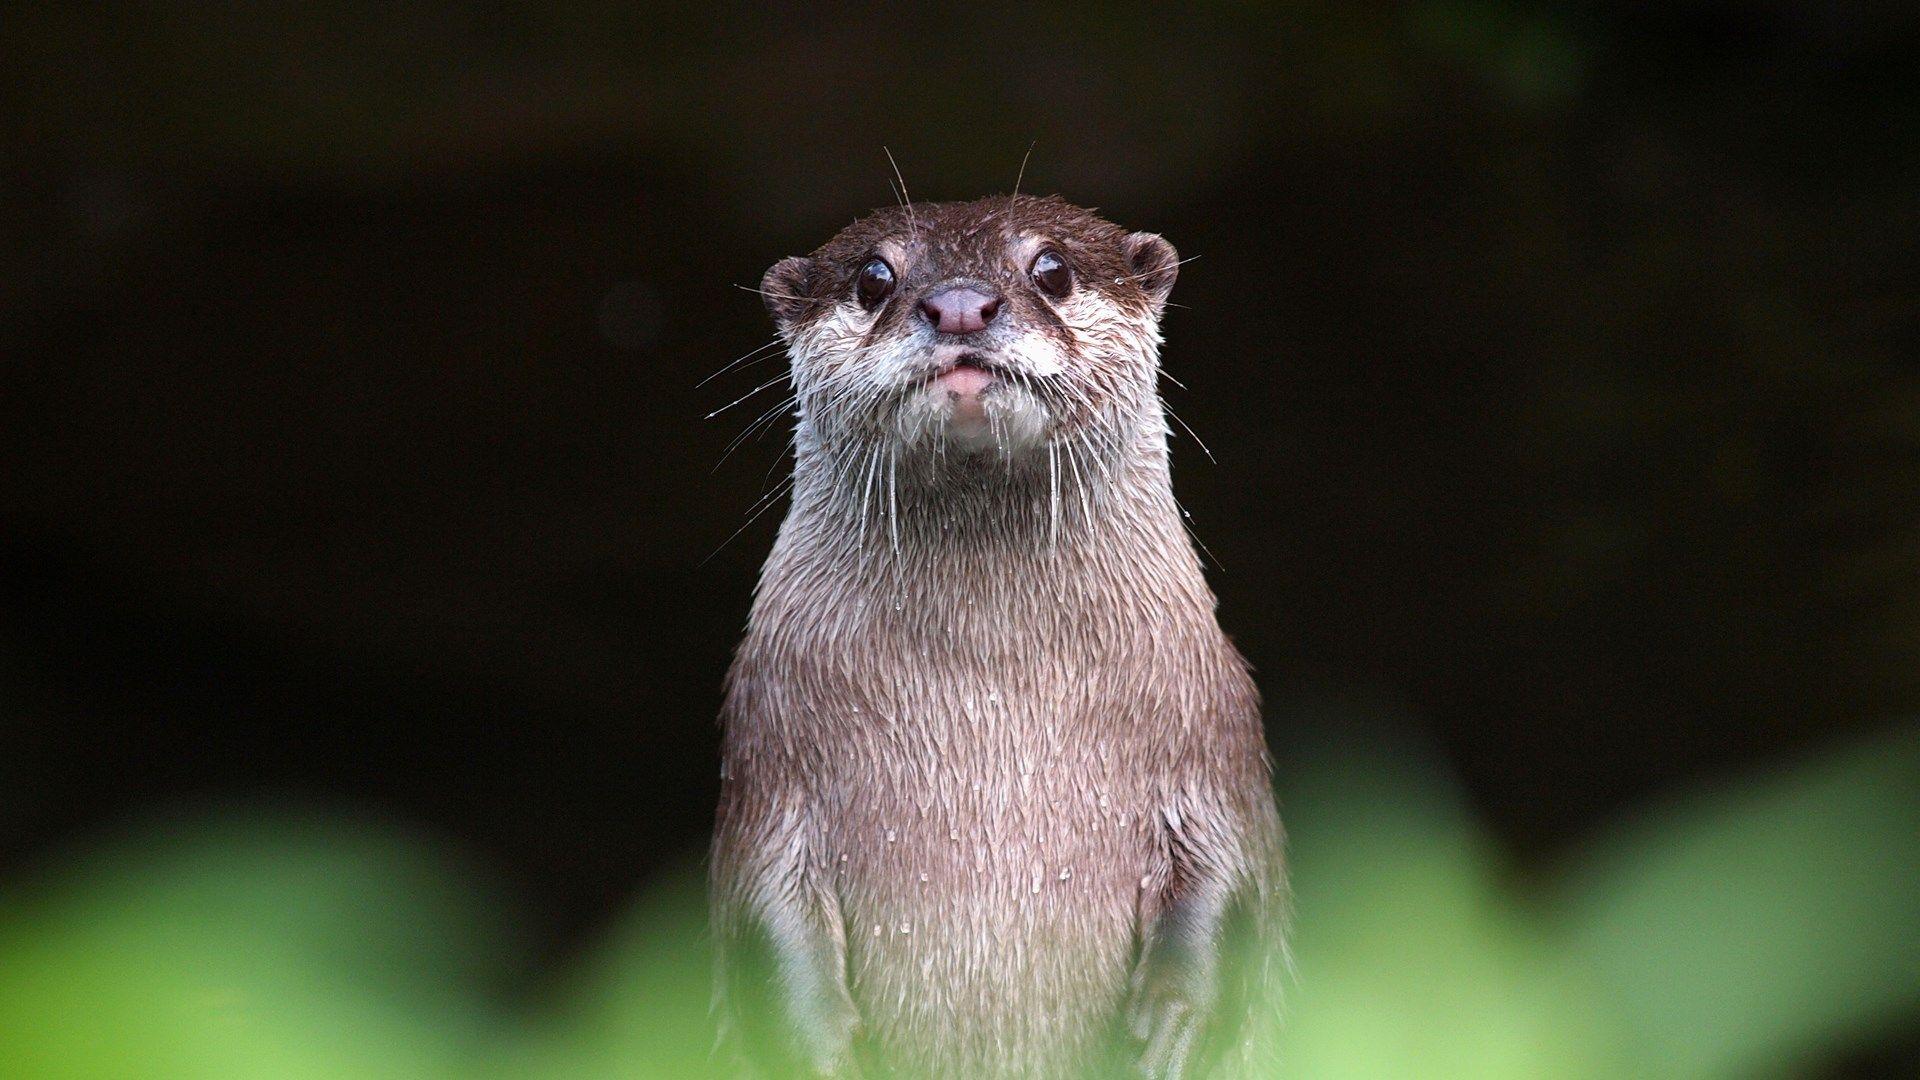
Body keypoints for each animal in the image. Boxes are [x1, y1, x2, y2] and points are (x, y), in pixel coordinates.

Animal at [710, 194, 1286, 1079]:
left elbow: (1230, 877)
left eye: (1052, 268)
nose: (958, 305)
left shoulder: (1212, 736)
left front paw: (1174, 1023)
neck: (993, 694)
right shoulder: (769, 754)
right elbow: (764, 918)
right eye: (874, 277)